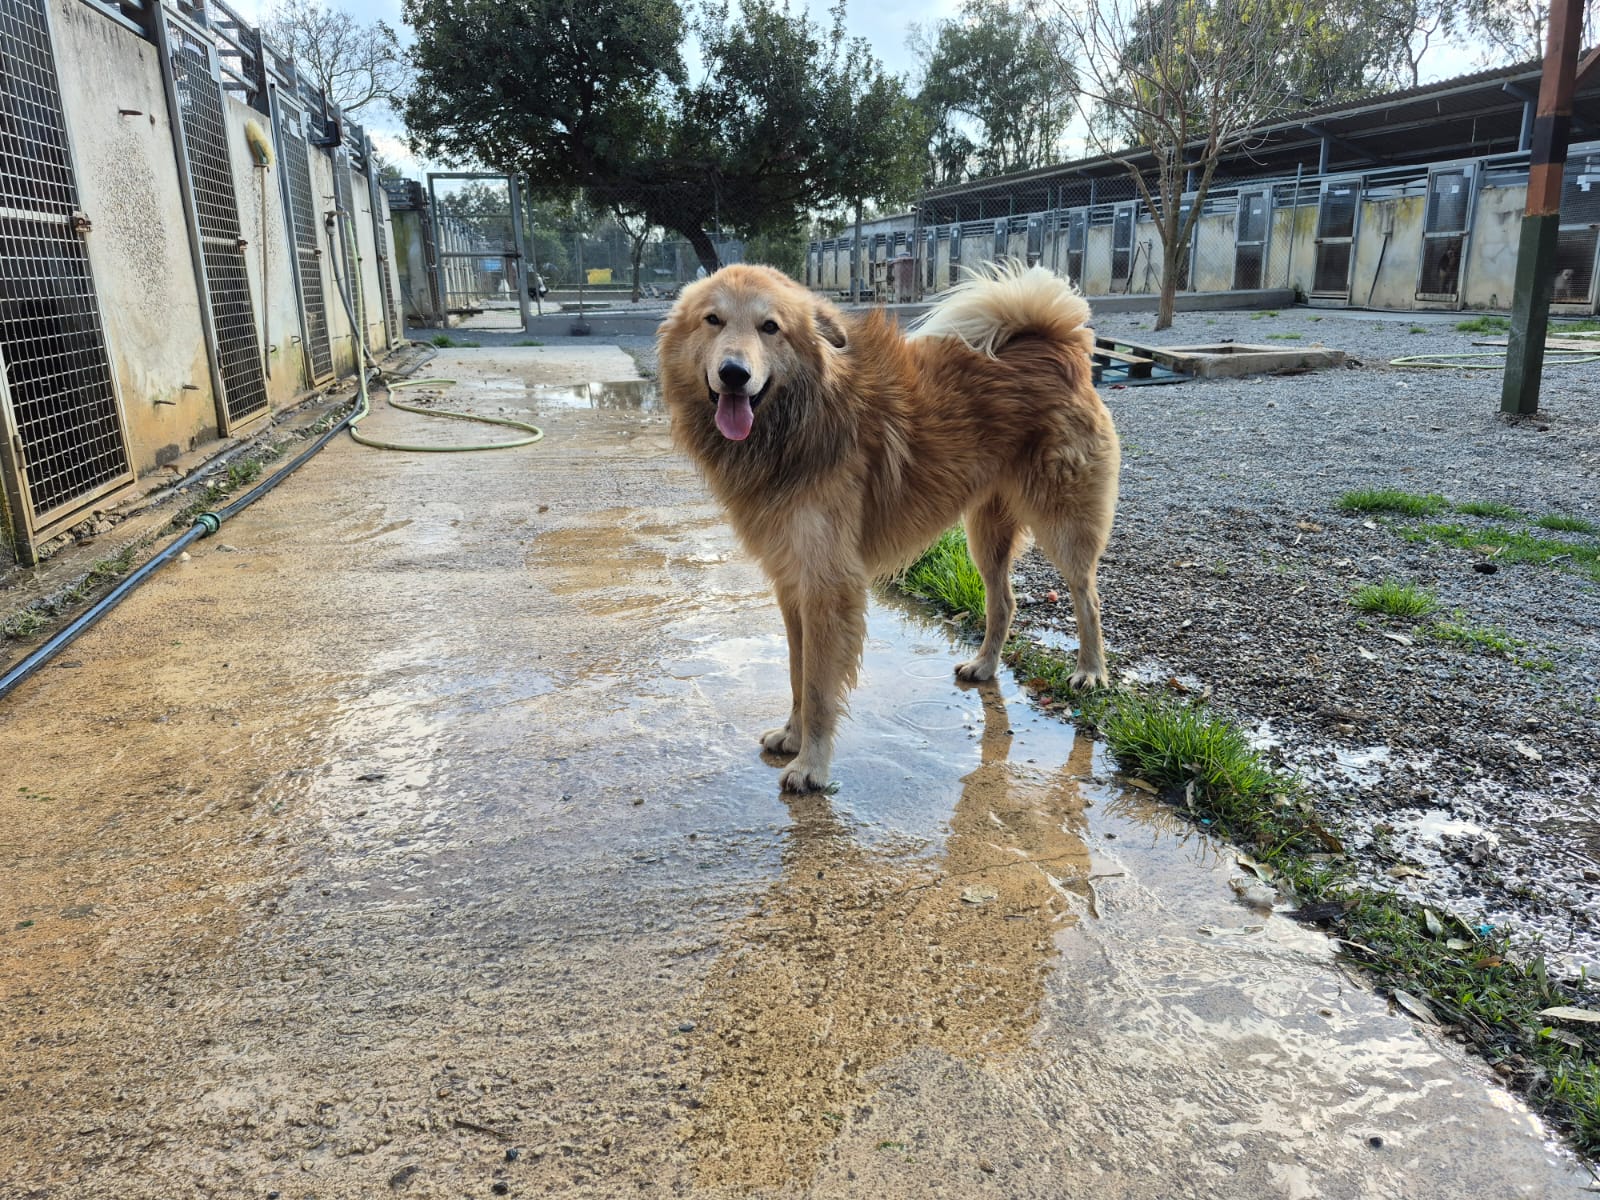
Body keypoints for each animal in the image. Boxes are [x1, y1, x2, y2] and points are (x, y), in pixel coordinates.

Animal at [657, 261, 1119, 792]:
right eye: (712, 320)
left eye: (769, 327)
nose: (734, 374)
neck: (799, 420)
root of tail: (1057, 342)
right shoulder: (793, 584)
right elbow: (797, 673)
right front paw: (793, 737)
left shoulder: (828, 587)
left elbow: (817, 687)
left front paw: (812, 765)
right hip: (986, 533)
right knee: (1003, 601)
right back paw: (984, 666)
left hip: (1063, 525)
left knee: (1088, 599)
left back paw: (1091, 671)